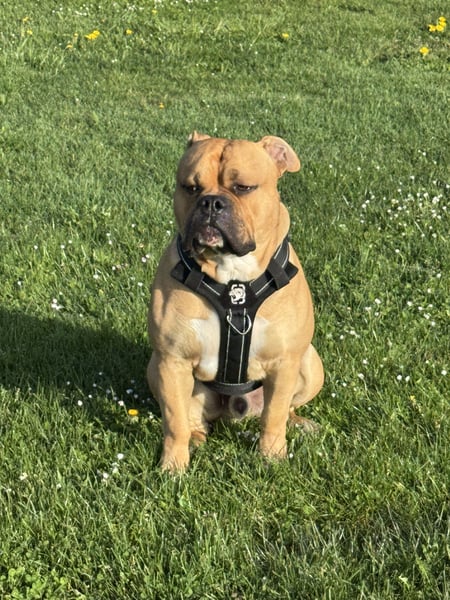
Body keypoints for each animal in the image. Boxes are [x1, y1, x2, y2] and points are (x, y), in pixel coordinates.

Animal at [147, 132, 324, 472]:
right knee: (191, 416)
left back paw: (300, 424)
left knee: (285, 408)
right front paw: (173, 466)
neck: (232, 279)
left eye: (243, 187)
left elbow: (274, 415)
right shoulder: (172, 360)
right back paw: (195, 438)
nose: (211, 203)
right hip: (156, 368)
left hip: (310, 362)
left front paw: (272, 456)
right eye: (190, 187)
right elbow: (174, 420)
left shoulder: (285, 362)